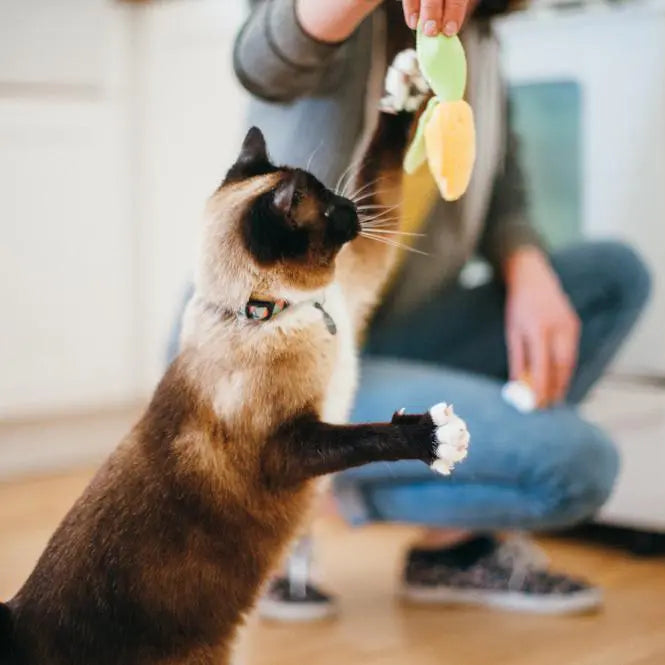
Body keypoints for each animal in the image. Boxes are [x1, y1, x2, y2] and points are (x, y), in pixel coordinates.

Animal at [0, 126, 466, 664]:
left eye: (337, 196)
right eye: (328, 210)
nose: (351, 205)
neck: (270, 312)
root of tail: (19, 622)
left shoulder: (360, 277)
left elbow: (384, 168)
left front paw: (407, 99)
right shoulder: (288, 450)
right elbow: (369, 436)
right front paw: (435, 439)